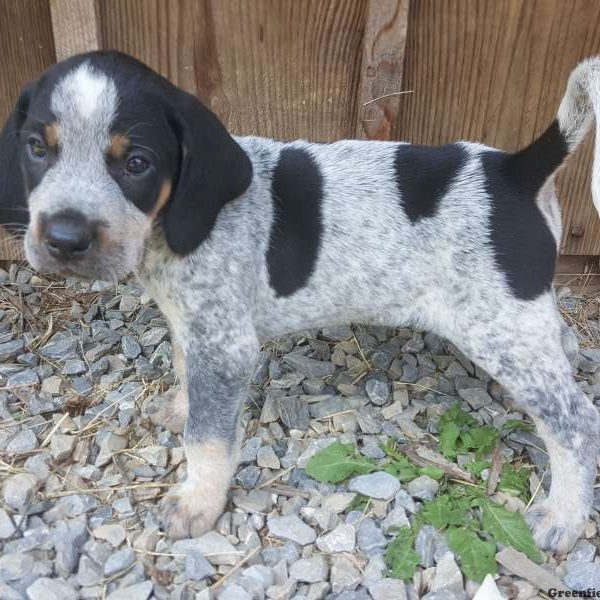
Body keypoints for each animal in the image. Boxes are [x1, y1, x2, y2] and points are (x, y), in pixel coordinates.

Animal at [1, 52, 600, 552]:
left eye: (137, 164)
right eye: (37, 148)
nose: (64, 239)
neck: (171, 227)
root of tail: (517, 168)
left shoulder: (226, 346)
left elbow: (208, 440)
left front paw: (197, 503)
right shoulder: (195, 326)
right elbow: (185, 373)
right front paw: (181, 407)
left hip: (499, 329)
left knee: (576, 422)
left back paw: (564, 517)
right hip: (518, 318)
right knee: (563, 346)